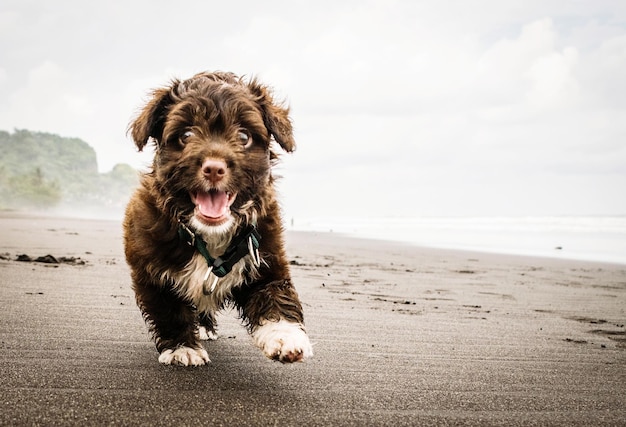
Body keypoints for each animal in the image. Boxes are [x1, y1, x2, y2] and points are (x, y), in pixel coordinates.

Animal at [123, 72, 312, 366]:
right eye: (186, 135)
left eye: (244, 136)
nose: (214, 168)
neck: (210, 235)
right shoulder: (149, 269)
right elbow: (169, 310)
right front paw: (182, 348)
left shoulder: (265, 255)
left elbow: (276, 293)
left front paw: (286, 337)